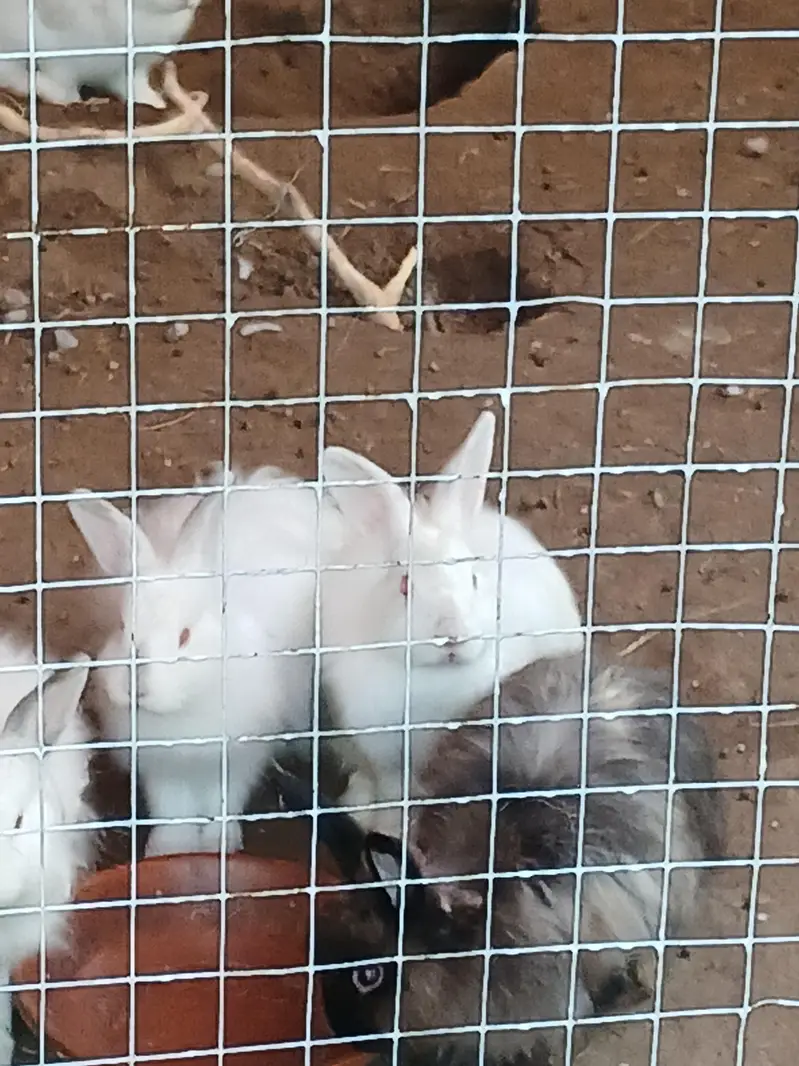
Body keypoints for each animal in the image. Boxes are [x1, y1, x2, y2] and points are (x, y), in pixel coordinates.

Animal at [0, 0, 202, 109]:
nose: (188, 1)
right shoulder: (60, 63)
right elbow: (64, 91)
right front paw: (74, 102)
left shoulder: (133, 70)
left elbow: (134, 87)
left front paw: (156, 104)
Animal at [68, 464, 324, 858]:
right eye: (123, 627)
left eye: (184, 636)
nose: (136, 688)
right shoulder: (163, 768)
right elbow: (172, 809)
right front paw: (169, 848)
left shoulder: (239, 757)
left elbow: (226, 799)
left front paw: (222, 844)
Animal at [319, 411, 583, 834]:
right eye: (405, 586)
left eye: (474, 578)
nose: (452, 637)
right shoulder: (385, 755)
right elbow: (390, 789)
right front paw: (386, 826)